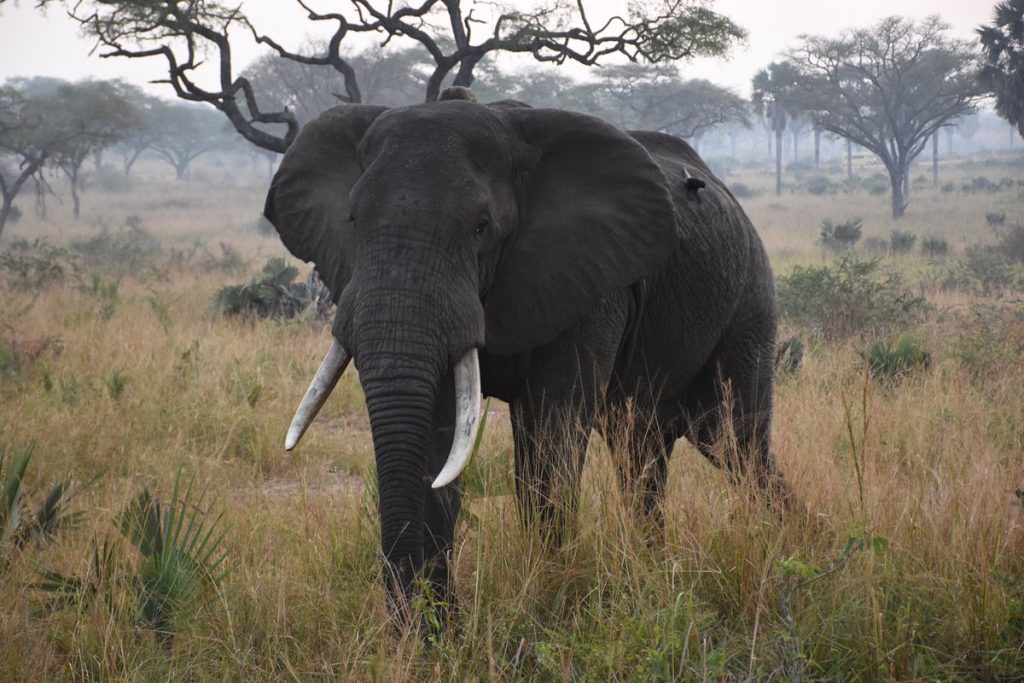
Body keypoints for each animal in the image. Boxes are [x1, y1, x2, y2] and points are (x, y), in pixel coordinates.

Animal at [263, 87, 789, 621]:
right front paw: (439, 632)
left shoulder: (590, 277)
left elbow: (548, 441)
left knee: (735, 444)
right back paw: (659, 570)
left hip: (750, 300)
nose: (424, 623)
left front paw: (551, 605)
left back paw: (786, 546)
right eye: (352, 221)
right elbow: (437, 435)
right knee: (642, 448)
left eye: (481, 227)